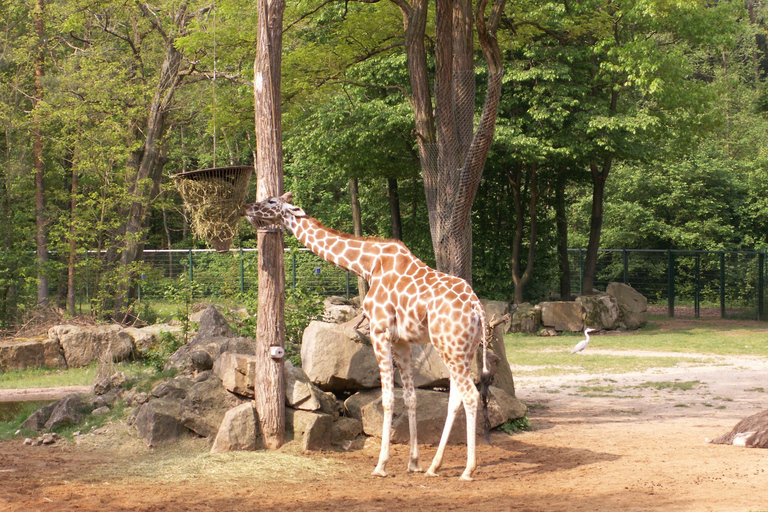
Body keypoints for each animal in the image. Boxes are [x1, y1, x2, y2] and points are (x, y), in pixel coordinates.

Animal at [246, 192, 492, 480]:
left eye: (272, 202)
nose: (249, 208)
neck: (368, 265)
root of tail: (477, 307)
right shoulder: (402, 341)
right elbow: (411, 398)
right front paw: (414, 462)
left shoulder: (380, 331)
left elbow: (387, 399)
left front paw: (381, 465)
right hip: (462, 349)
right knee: (456, 398)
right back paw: (434, 466)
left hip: (450, 347)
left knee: (470, 396)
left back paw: (468, 469)